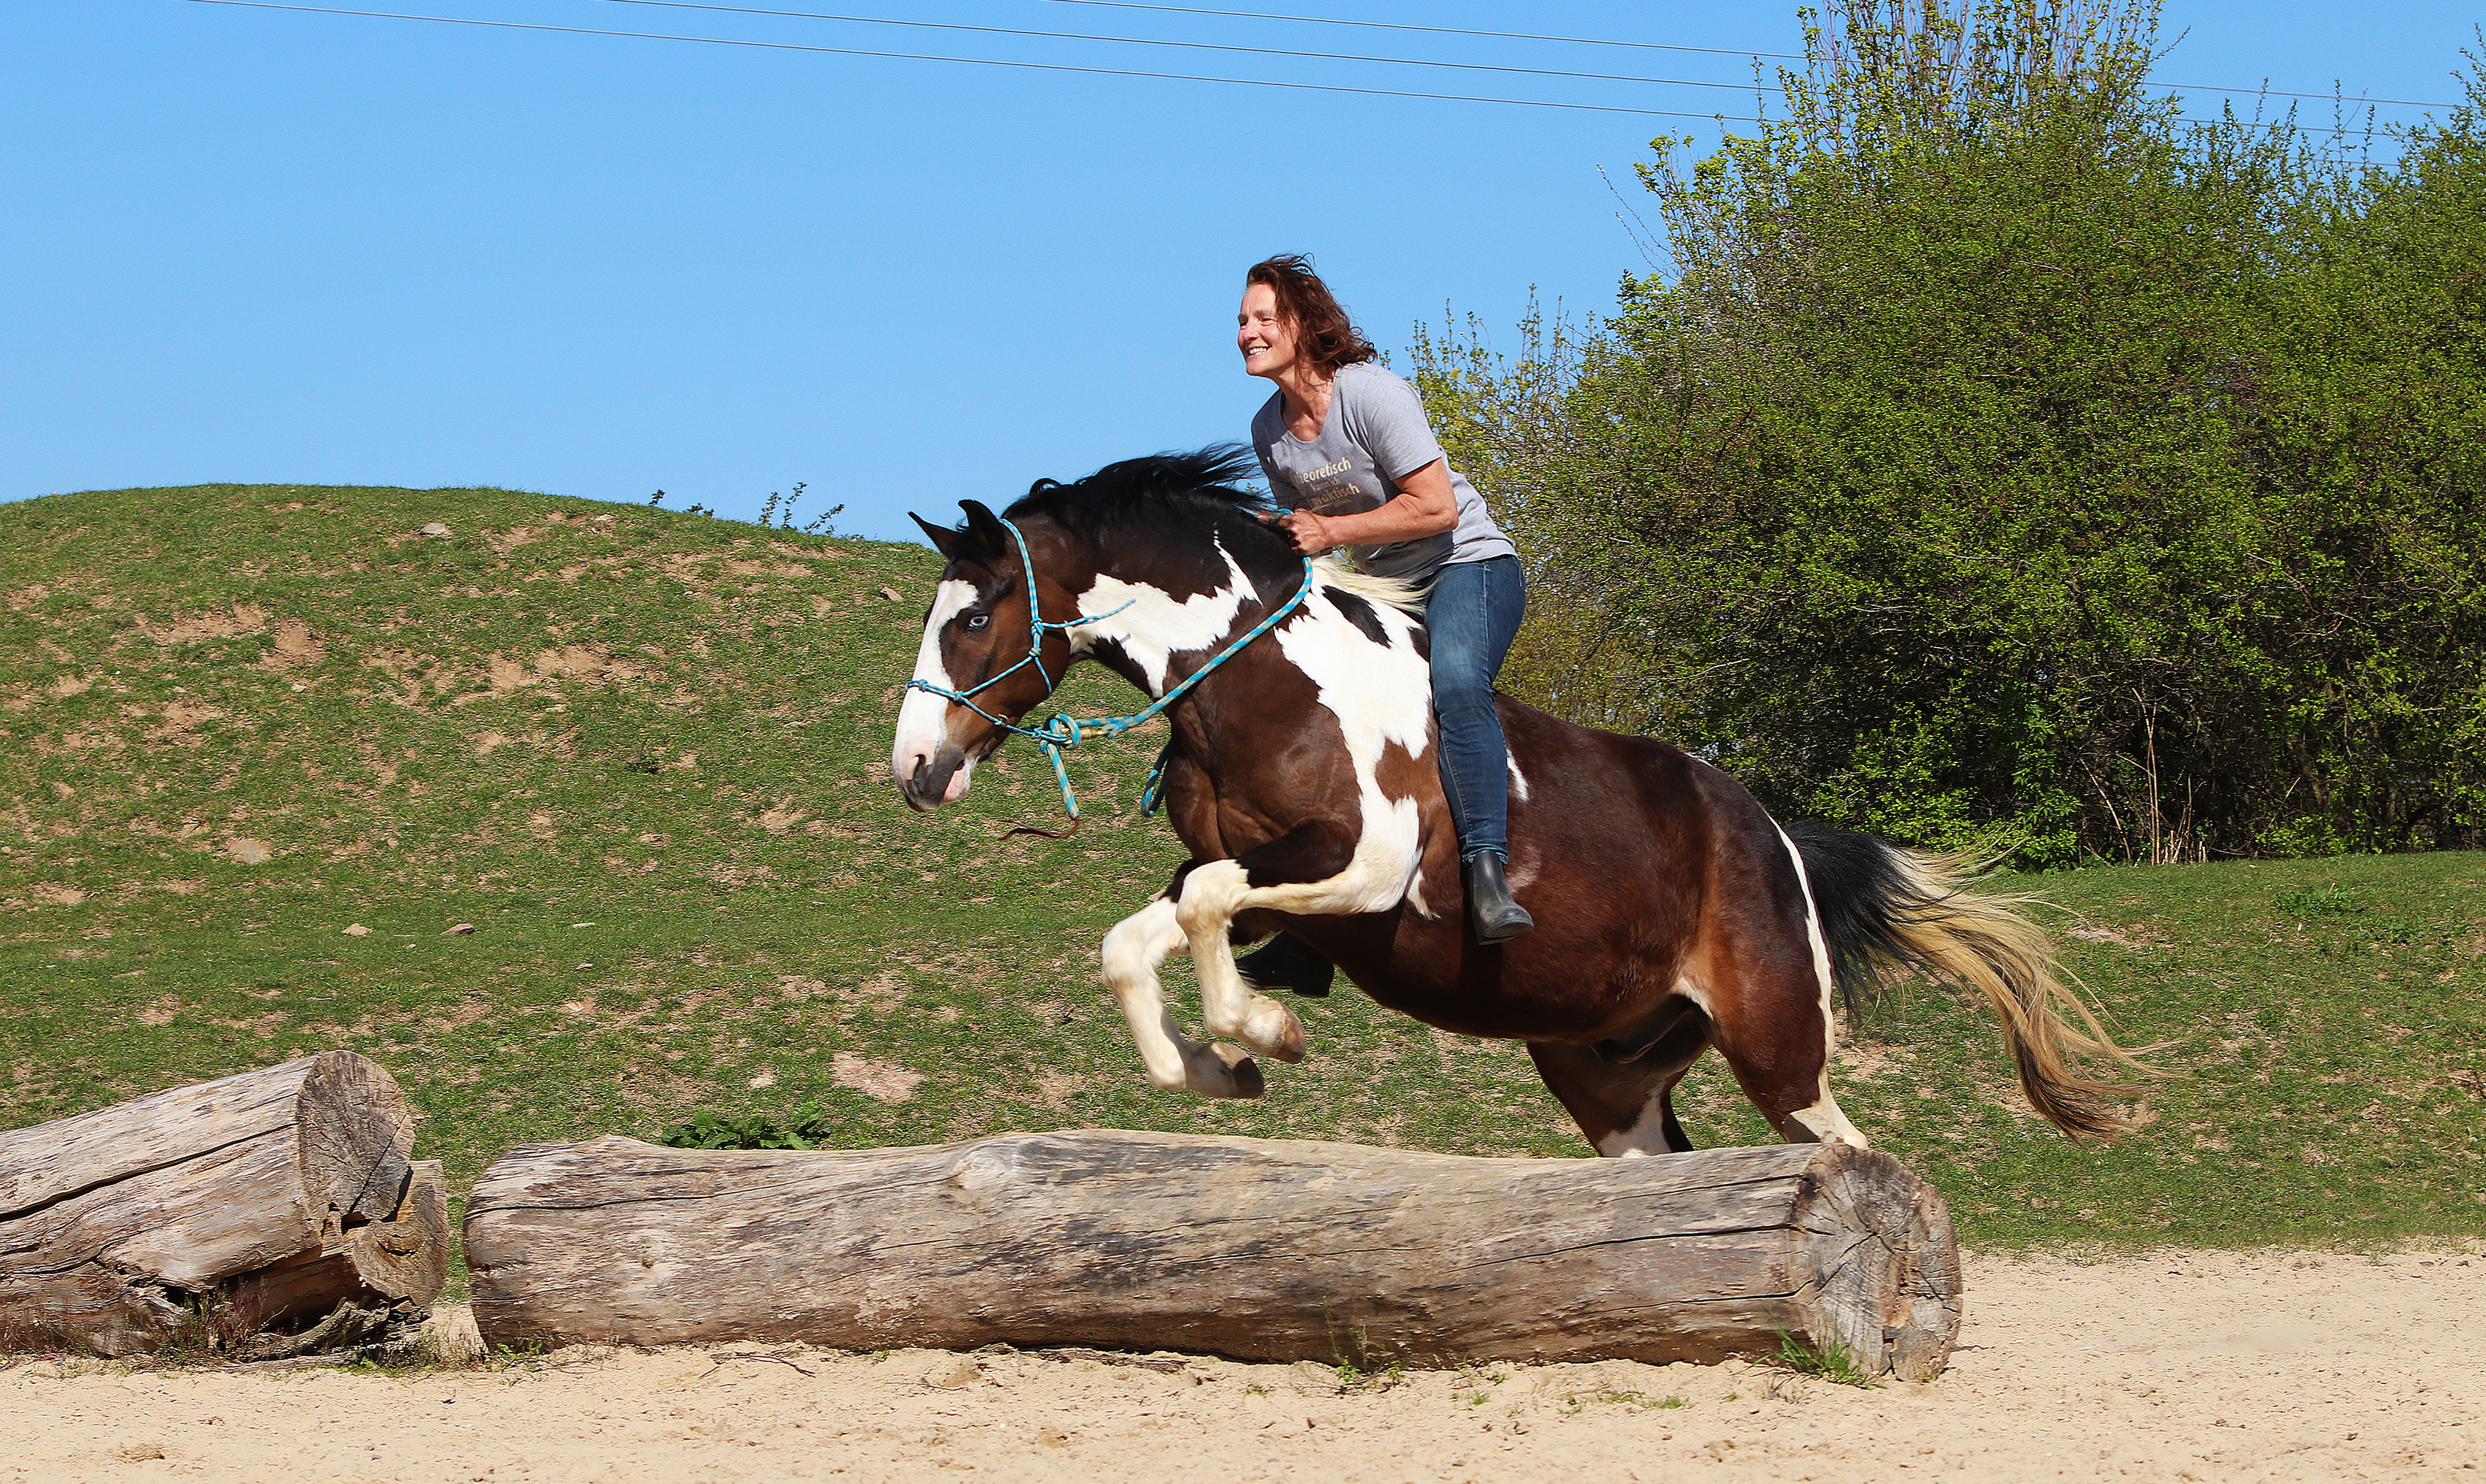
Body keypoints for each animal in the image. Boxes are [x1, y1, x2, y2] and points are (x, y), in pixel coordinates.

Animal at [895, 444, 2138, 1153]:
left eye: (973, 616)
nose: (912, 769)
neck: (1261, 675)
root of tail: (1773, 834)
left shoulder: (1363, 866)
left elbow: (1199, 914)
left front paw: (1262, 1029)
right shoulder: (1248, 871)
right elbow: (1142, 936)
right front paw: (1213, 1065)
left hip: (1776, 1042)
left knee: (1848, 1152)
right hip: (1602, 1068)